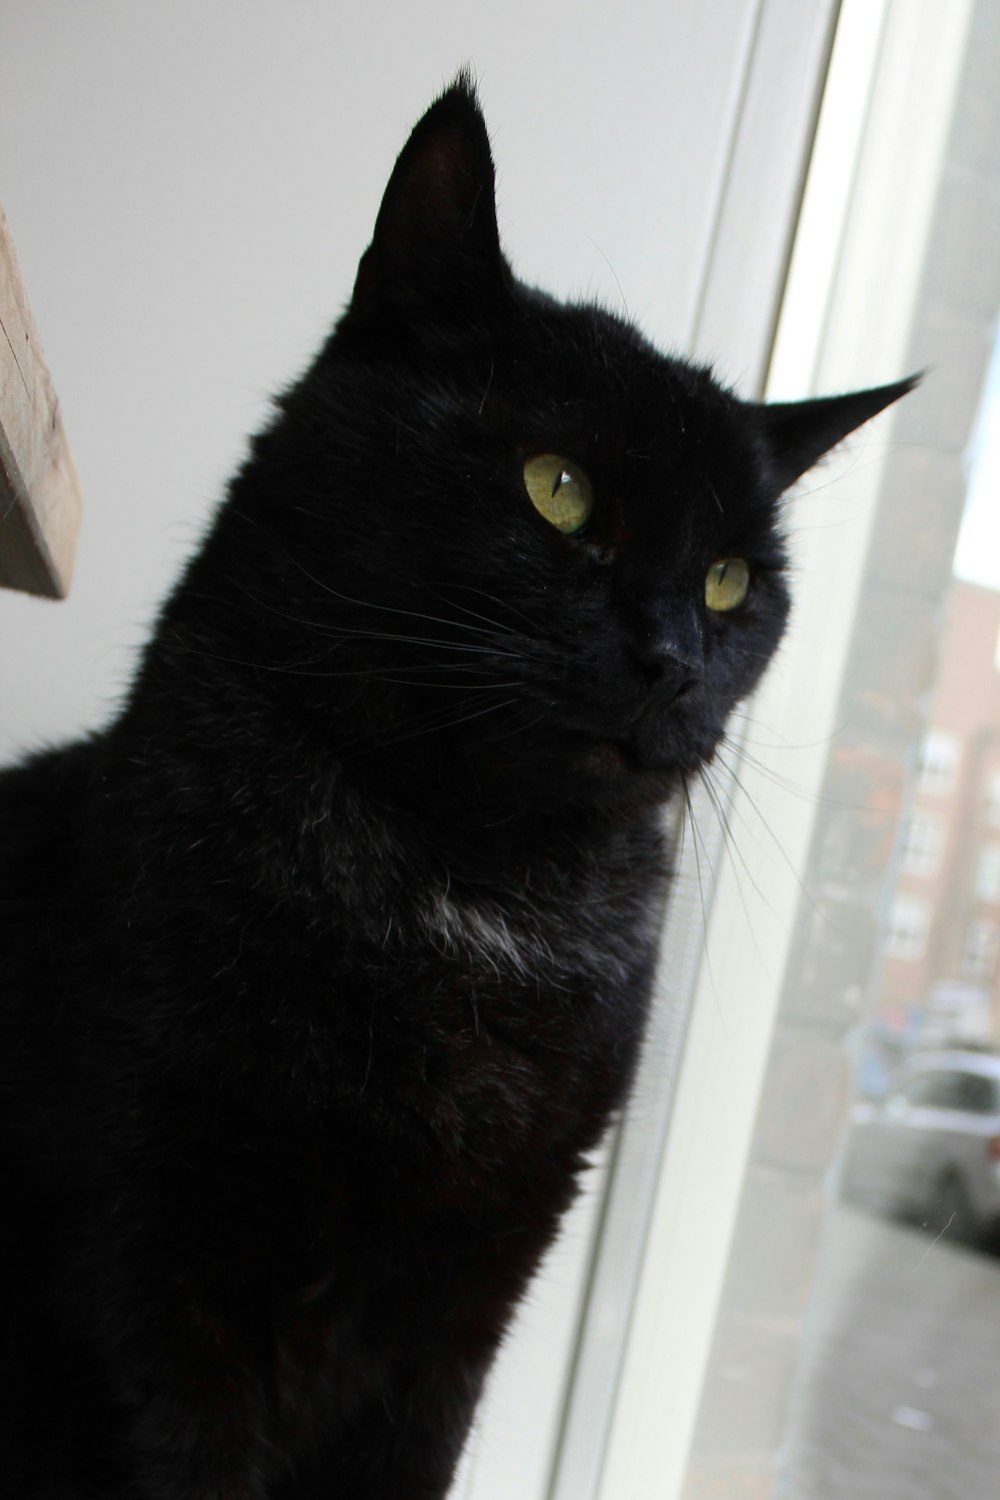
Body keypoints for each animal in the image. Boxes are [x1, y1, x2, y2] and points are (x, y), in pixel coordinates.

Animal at [0, 79, 917, 1500]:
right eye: (558, 489)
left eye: (729, 581)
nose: (671, 655)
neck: (467, 889)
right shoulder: (155, 1247)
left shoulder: (477, 1279)